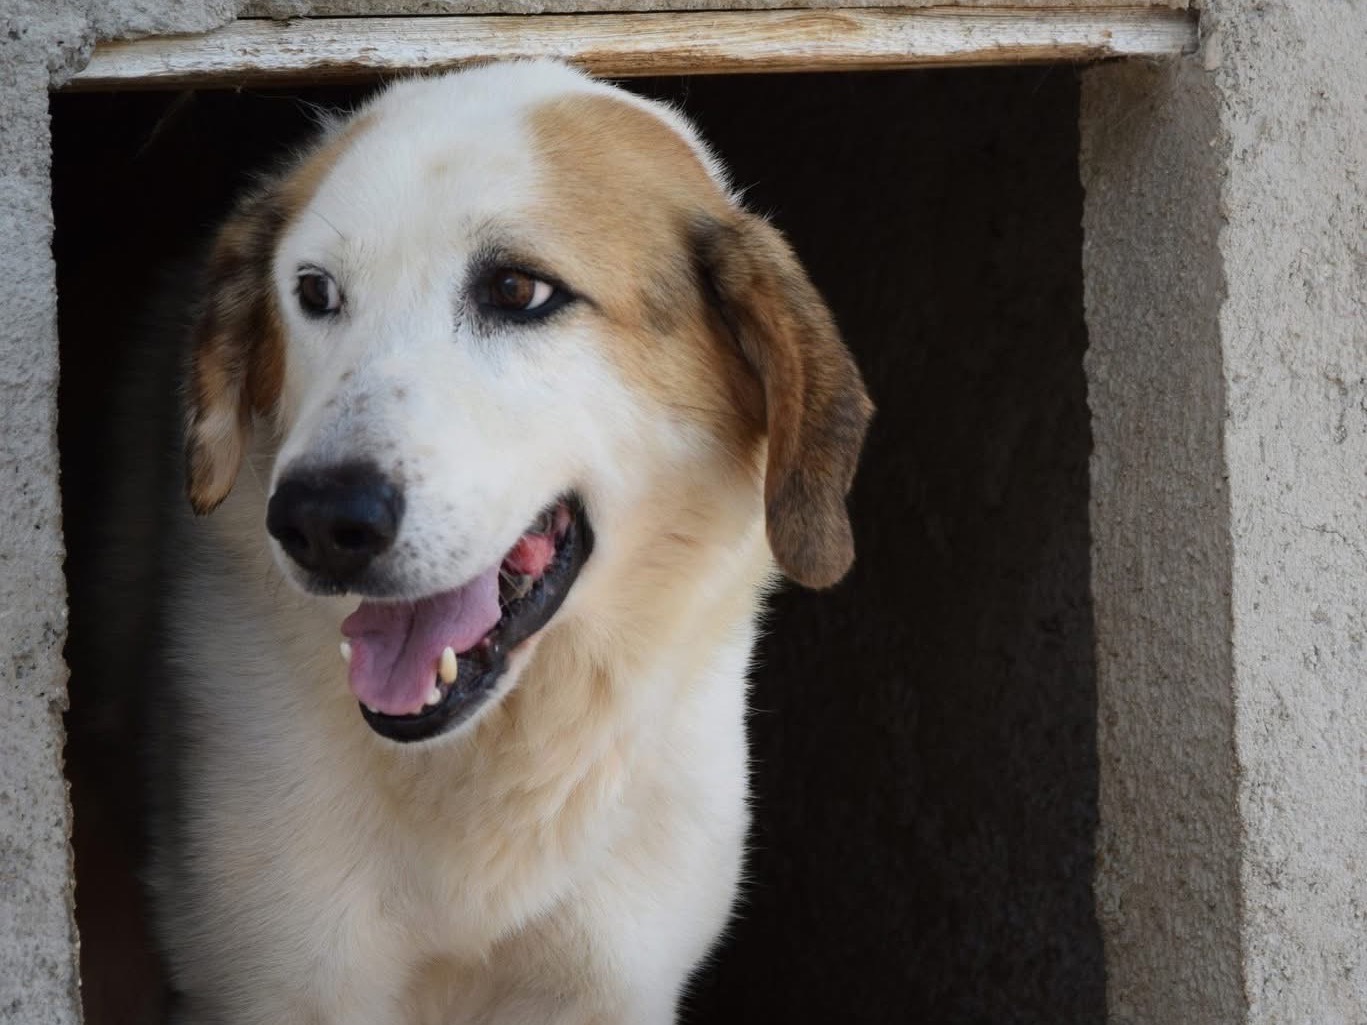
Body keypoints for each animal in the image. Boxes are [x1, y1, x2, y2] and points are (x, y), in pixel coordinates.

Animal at [144, 60, 869, 1022]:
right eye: (315, 293)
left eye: (519, 291)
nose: (318, 521)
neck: (494, 755)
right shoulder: (276, 984)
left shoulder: (606, 989)